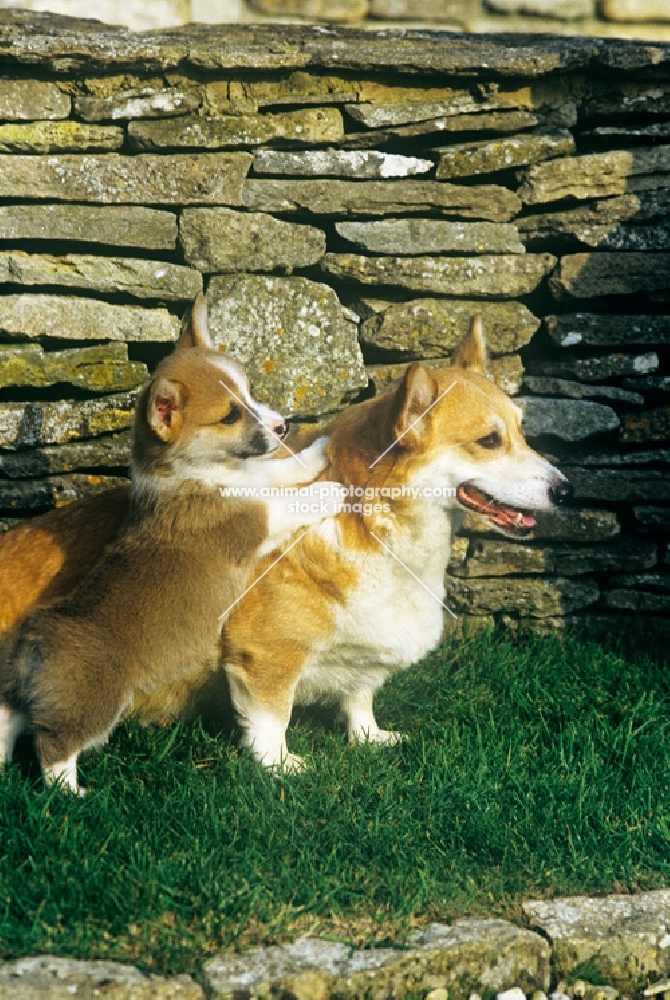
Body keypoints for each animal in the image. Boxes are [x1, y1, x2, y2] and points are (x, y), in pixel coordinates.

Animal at [0, 292, 338, 792]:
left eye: (250, 393)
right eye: (230, 415)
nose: (283, 427)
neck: (199, 473)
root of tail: (38, 638)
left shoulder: (258, 477)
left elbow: (282, 470)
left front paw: (318, 450)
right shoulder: (250, 521)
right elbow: (288, 502)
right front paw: (333, 489)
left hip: (28, 694)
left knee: (11, 718)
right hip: (95, 703)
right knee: (54, 747)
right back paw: (73, 793)